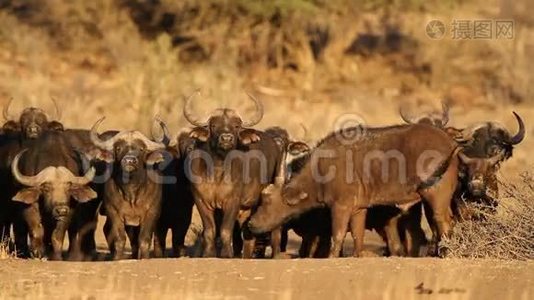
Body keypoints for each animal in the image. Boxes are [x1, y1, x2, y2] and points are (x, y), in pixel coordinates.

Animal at [10, 132, 98, 260]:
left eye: (68, 187)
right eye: (46, 188)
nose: (61, 210)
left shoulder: (68, 212)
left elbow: (57, 234)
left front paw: (56, 256)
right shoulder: (29, 207)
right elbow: (36, 230)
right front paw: (37, 253)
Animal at [90, 117, 169, 260]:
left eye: (141, 149)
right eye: (118, 148)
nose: (129, 161)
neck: (131, 191)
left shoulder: (152, 212)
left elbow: (144, 239)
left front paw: (144, 258)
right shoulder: (114, 212)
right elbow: (119, 238)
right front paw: (117, 258)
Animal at [184, 91, 282, 258]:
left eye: (236, 126)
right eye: (214, 125)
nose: (226, 138)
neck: (216, 171)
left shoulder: (233, 201)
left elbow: (225, 229)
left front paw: (226, 254)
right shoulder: (201, 200)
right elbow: (210, 230)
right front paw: (209, 253)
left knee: (274, 231)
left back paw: (276, 255)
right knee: (248, 234)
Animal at [249, 123, 462, 256]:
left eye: (268, 203)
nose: (251, 224)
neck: (321, 170)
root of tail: (450, 142)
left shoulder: (340, 207)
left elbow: (338, 235)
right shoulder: (359, 209)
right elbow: (358, 236)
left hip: (434, 196)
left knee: (443, 223)